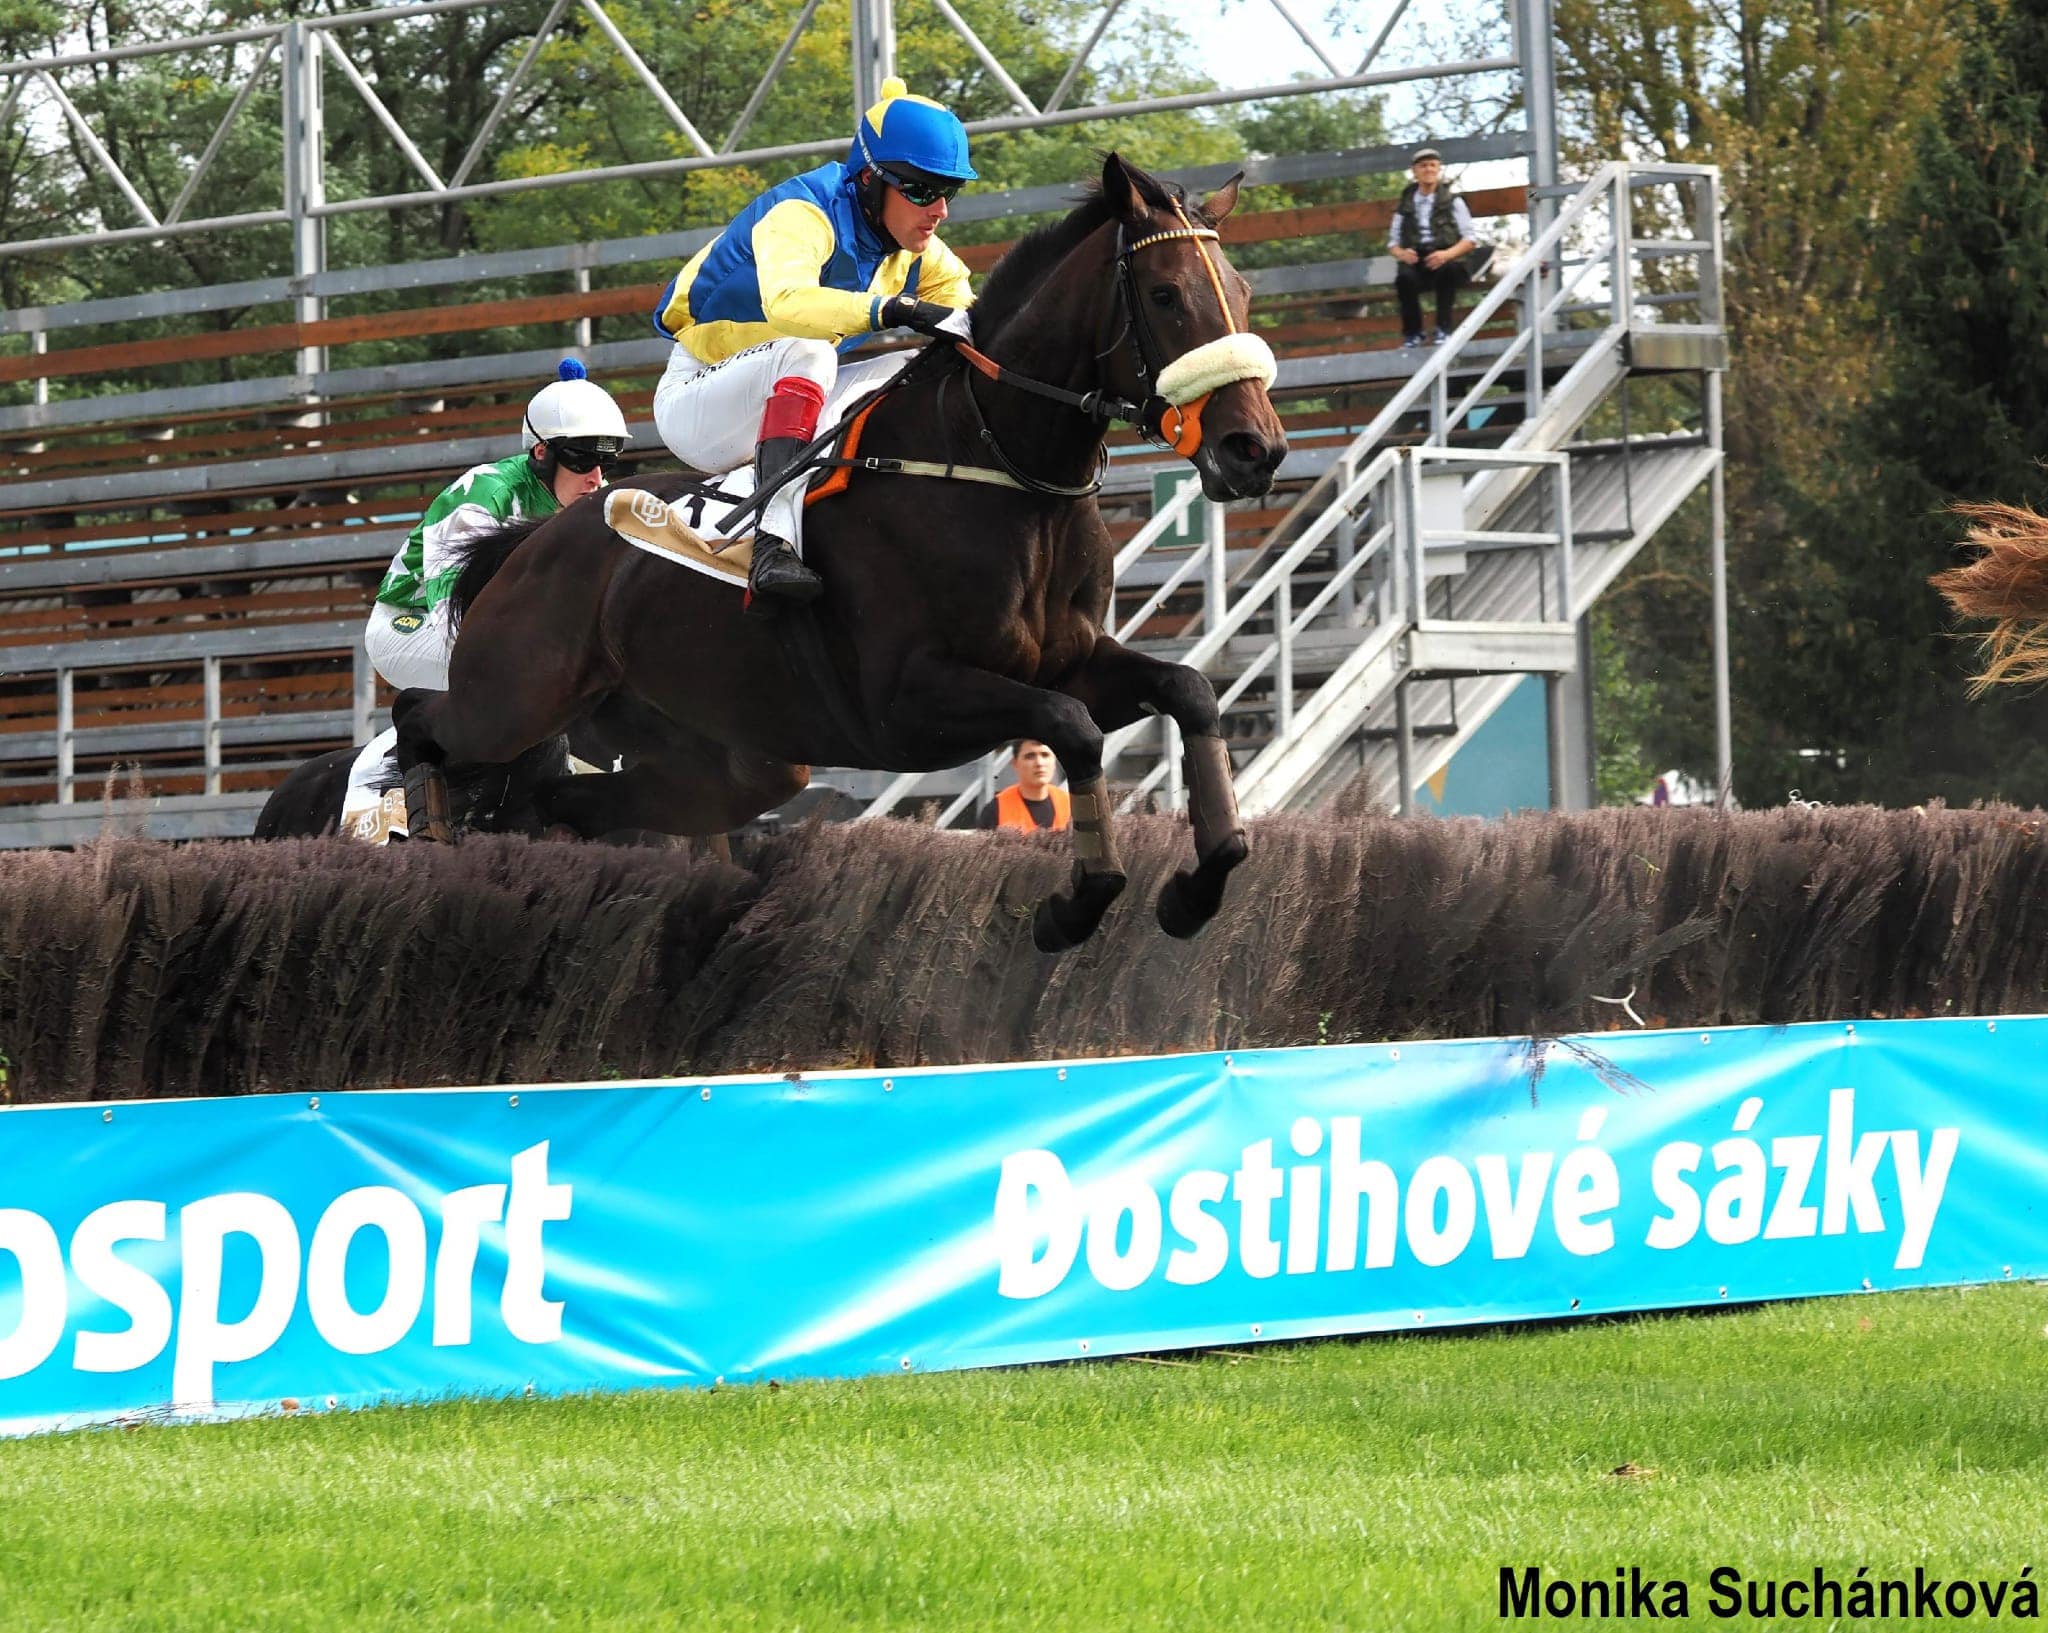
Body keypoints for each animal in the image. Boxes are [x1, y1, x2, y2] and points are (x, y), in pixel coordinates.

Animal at [393, 154, 1286, 950]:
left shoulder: (1069, 660)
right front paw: (1074, 905)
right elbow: (1072, 728)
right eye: (1166, 295)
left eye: (1244, 293)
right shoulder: (908, 700)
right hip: (514, 692)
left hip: (725, 756)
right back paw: (426, 828)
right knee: (423, 722)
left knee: (561, 802)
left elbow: (1189, 691)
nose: (1254, 449)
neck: (996, 464)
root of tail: (530, 541)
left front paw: (1197, 886)